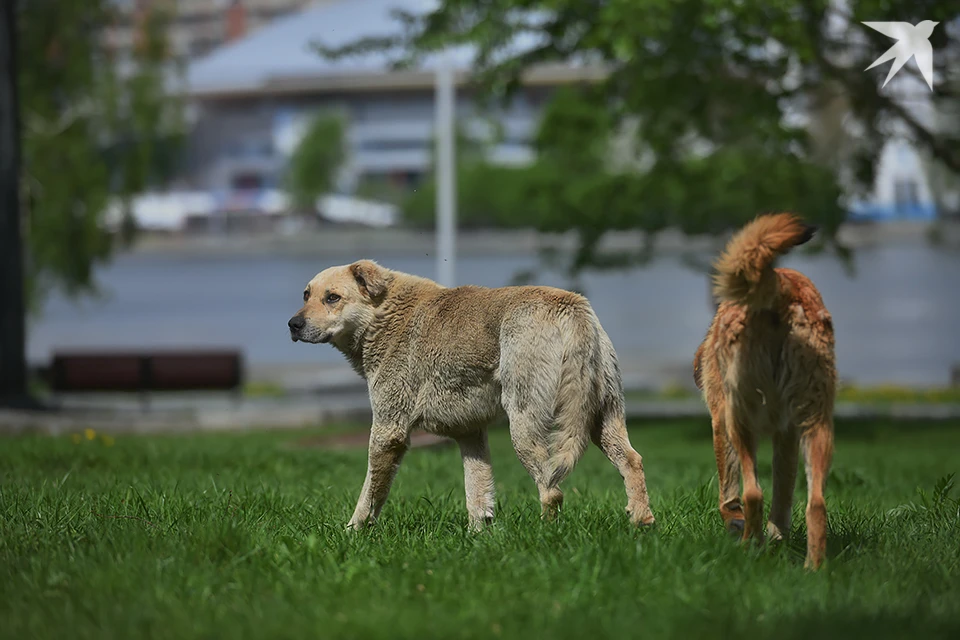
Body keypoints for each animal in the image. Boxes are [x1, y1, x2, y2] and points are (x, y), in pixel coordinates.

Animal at [288, 258, 656, 528]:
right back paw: (641, 520)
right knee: (632, 460)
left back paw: (545, 535)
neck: (383, 315)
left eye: (332, 297)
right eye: (306, 294)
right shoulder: (470, 433)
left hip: (525, 423)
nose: (292, 324)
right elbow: (478, 494)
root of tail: (572, 306)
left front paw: (354, 532)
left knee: (552, 490)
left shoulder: (388, 430)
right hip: (602, 416)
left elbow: (370, 493)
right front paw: (479, 539)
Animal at [692, 215, 836, 568]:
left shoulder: (720, 422)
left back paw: (746, 548)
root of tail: (779, 288)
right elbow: (783, 496)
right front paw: (776, 538)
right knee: (816, 503)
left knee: (753, 493)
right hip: (817, 424)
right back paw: (813, 569)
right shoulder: (788, 434)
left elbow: (730, 493)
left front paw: (740, 527)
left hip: (739, 422)